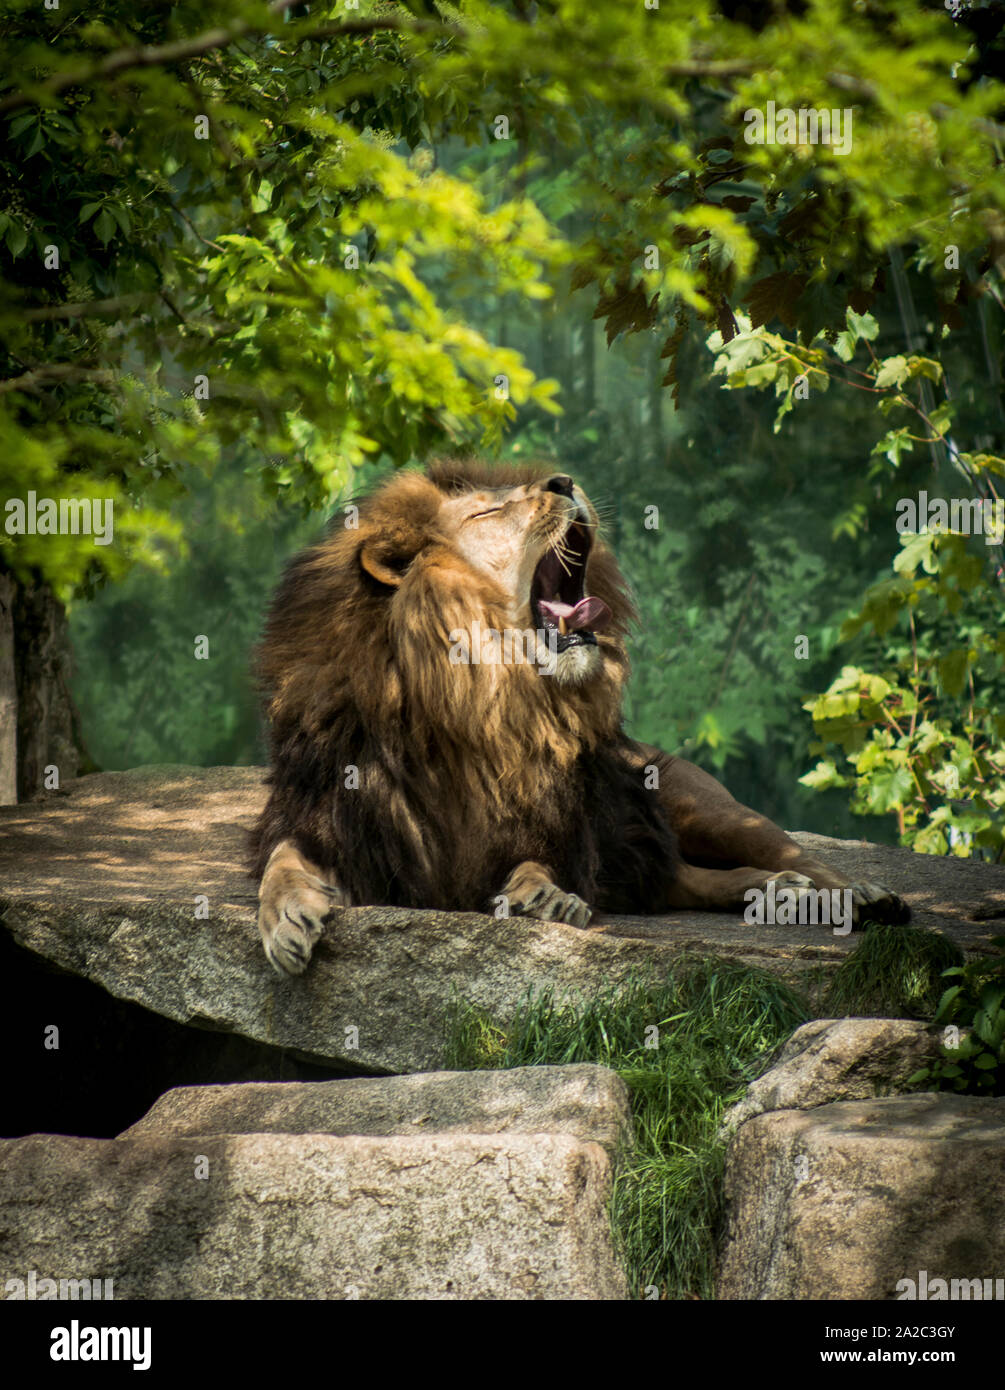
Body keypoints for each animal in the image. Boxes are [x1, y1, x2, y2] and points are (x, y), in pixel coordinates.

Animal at [251, 461, 911, 973]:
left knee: (788, 854)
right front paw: (285, 920)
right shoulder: (332, 816)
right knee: (685, 879)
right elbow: (282, 860)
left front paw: (543, 897)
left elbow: (537, 857)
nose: (564, 480)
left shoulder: (565, 824)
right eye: (488, 513)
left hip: (708, 807)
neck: (476, 703)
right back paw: (777, 894)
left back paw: (850, 894)